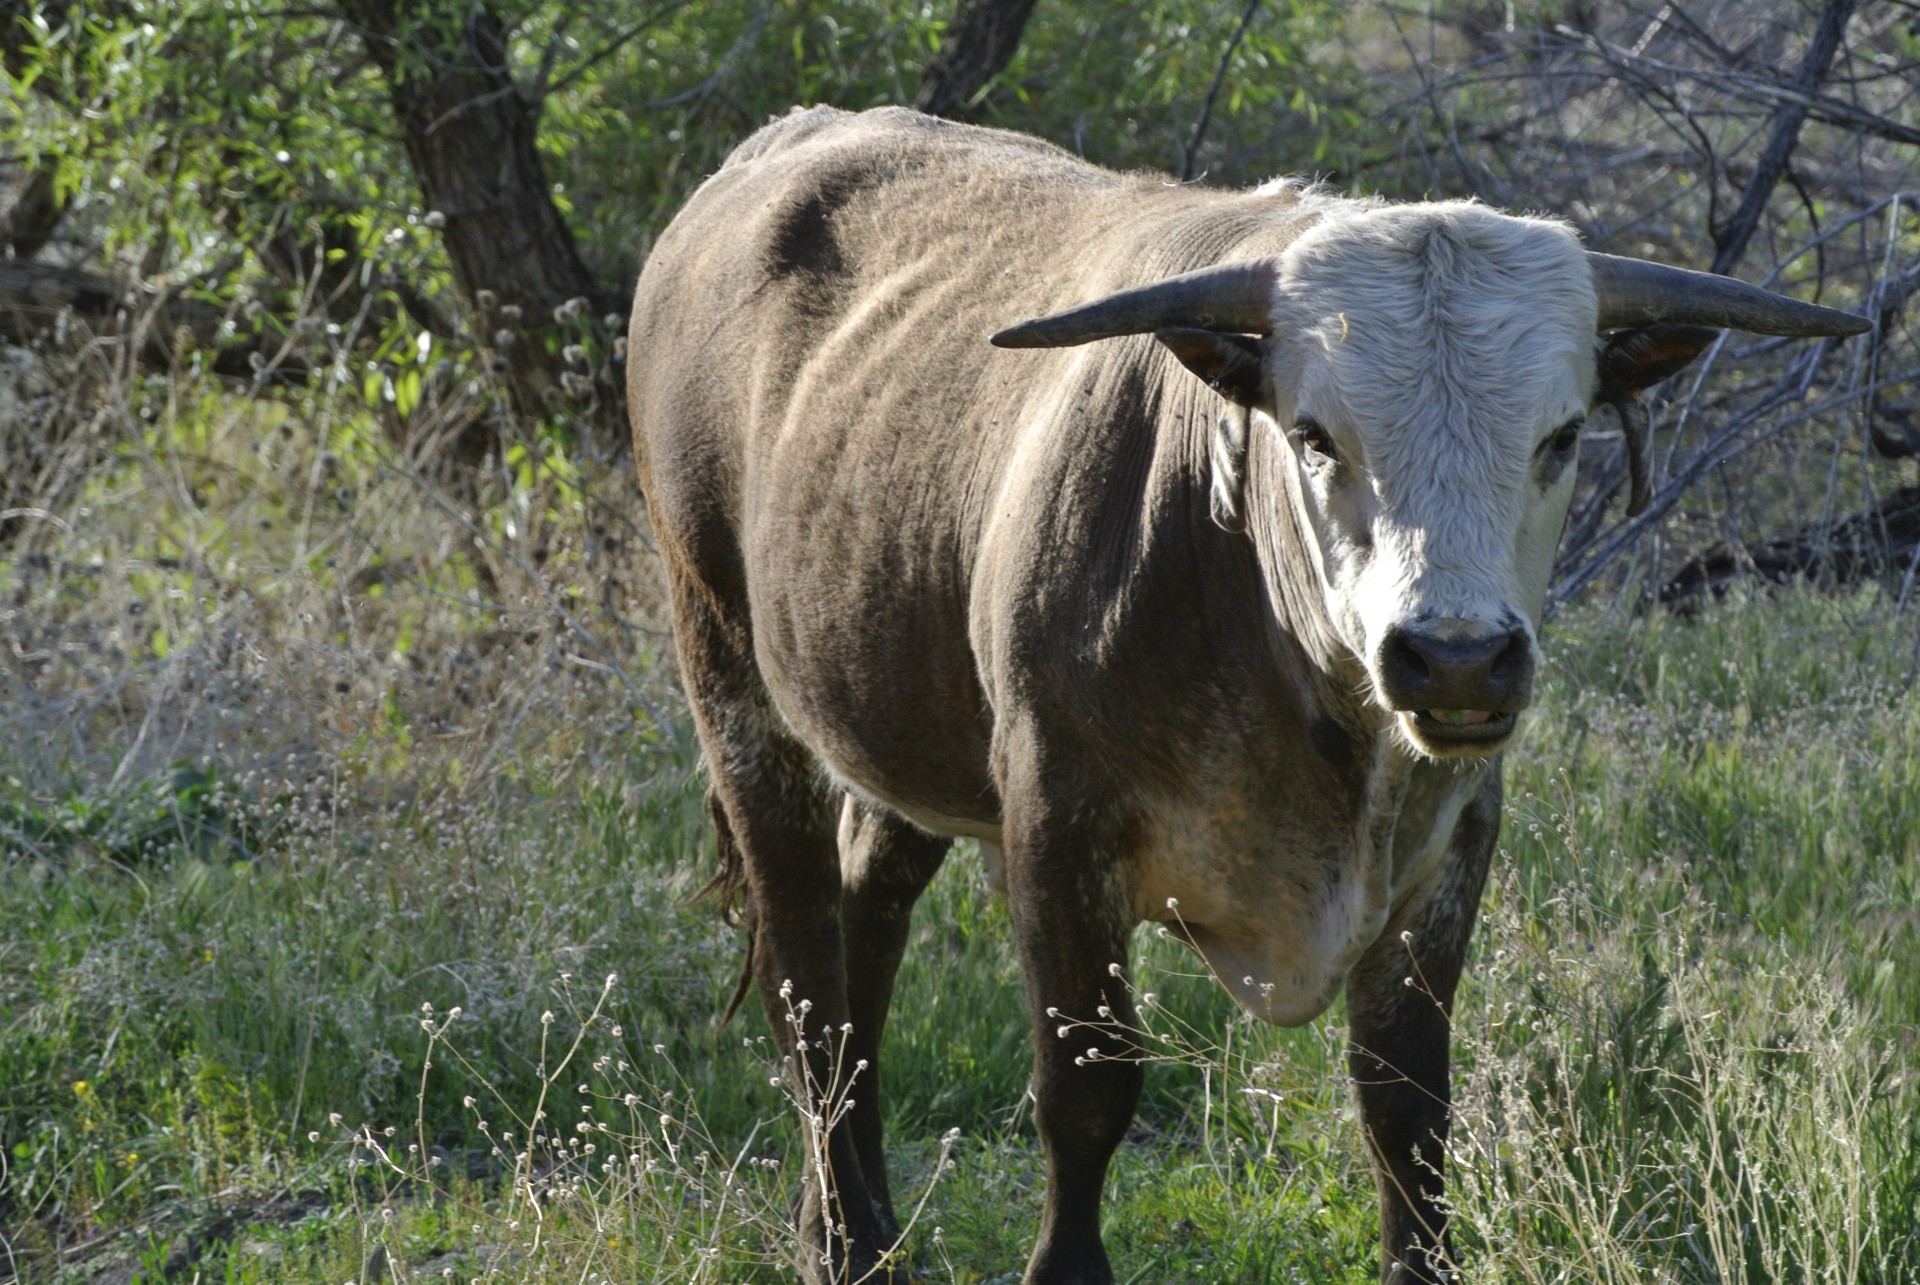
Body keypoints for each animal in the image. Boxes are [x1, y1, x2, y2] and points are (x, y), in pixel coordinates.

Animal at [629, 105, 1873, 1275]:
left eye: (1562, 436)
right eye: (1316, 437)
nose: (1456, 657)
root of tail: (772, 153)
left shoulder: (1451, 845)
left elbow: (1407, 1108)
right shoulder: (1056, 832)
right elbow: (1087, 1093)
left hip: (903, 726)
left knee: (865, 929)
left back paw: (863, 1224)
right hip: (732, 683)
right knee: (805, 973)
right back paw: (843, 1241)